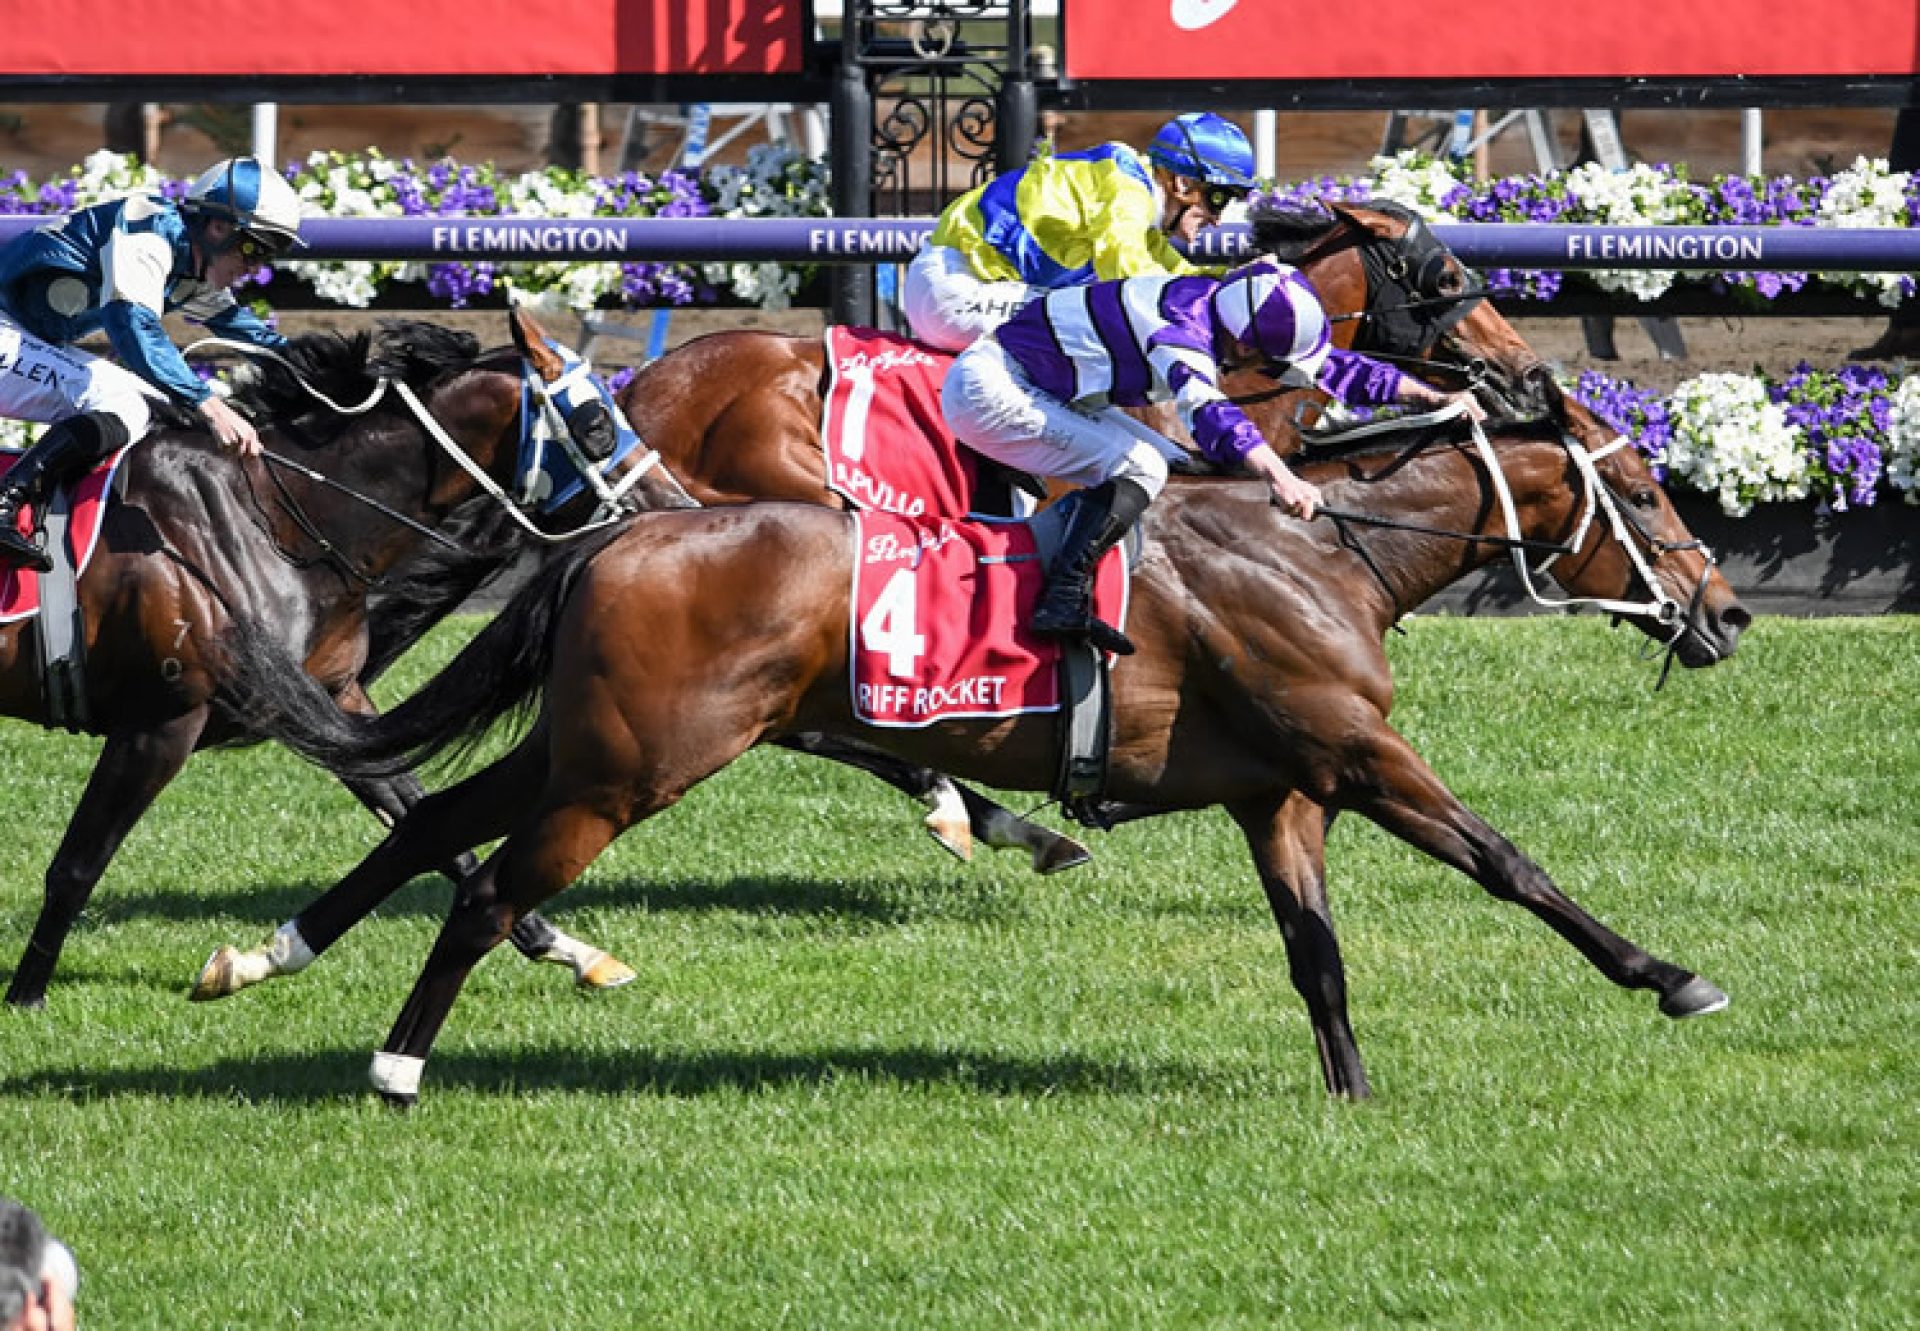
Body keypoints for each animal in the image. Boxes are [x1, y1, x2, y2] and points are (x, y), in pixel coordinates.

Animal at [0, 305, 691, 998]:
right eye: (597, 422)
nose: (675, 504)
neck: (270, 516)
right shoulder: (161, 721)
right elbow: (77, 865)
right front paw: (26, 995)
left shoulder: (332, 699)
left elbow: (428, 824)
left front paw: (574, 951)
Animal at [214, 393, 1758, 1098]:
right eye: (1640, 485)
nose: (1729, 610)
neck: (1322, 552)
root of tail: (618, 535)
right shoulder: (1361, 755)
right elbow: (1509, 861)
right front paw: (1672, 976)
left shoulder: (1284, 794)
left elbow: (1314, 949)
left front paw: (1352, 1090)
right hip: (631, 768)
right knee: (486, 886)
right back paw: (396, 1067)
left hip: (585, 746)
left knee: (430, 820)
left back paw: (259, 956)